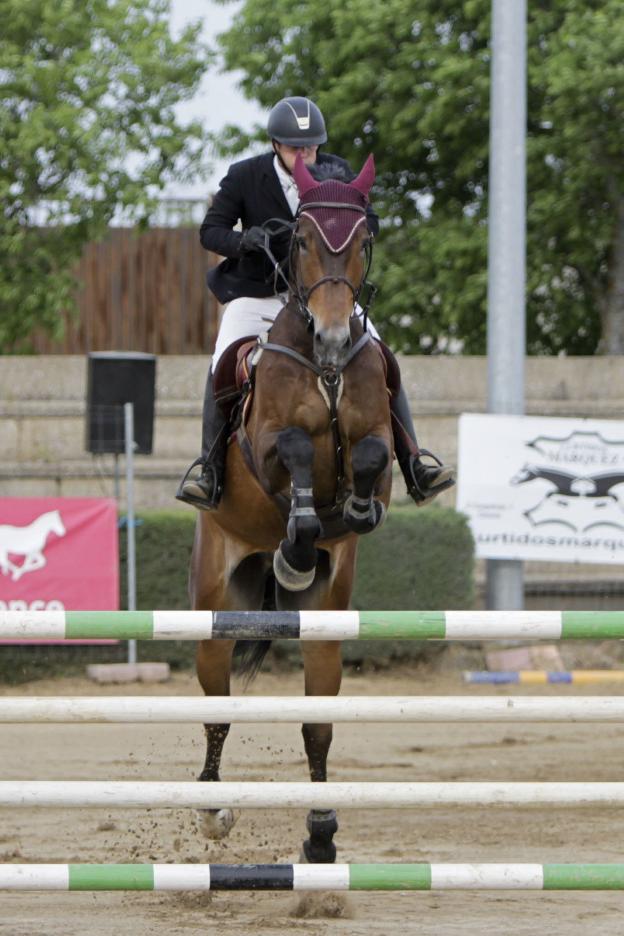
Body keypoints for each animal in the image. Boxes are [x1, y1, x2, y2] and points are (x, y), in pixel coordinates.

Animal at [191, 154, 394, 864]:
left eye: (361, 241)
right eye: (299, 239)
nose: (333, 337)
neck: (323, 364)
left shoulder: (378, 444)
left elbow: (369, 460)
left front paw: (343, 517)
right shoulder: (266, 446)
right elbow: (297, 449)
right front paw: (298, 539)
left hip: (325, 624)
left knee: (317, 726)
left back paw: (321, 833)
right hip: (215, 604)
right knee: (217, 708)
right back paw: (213, 810)